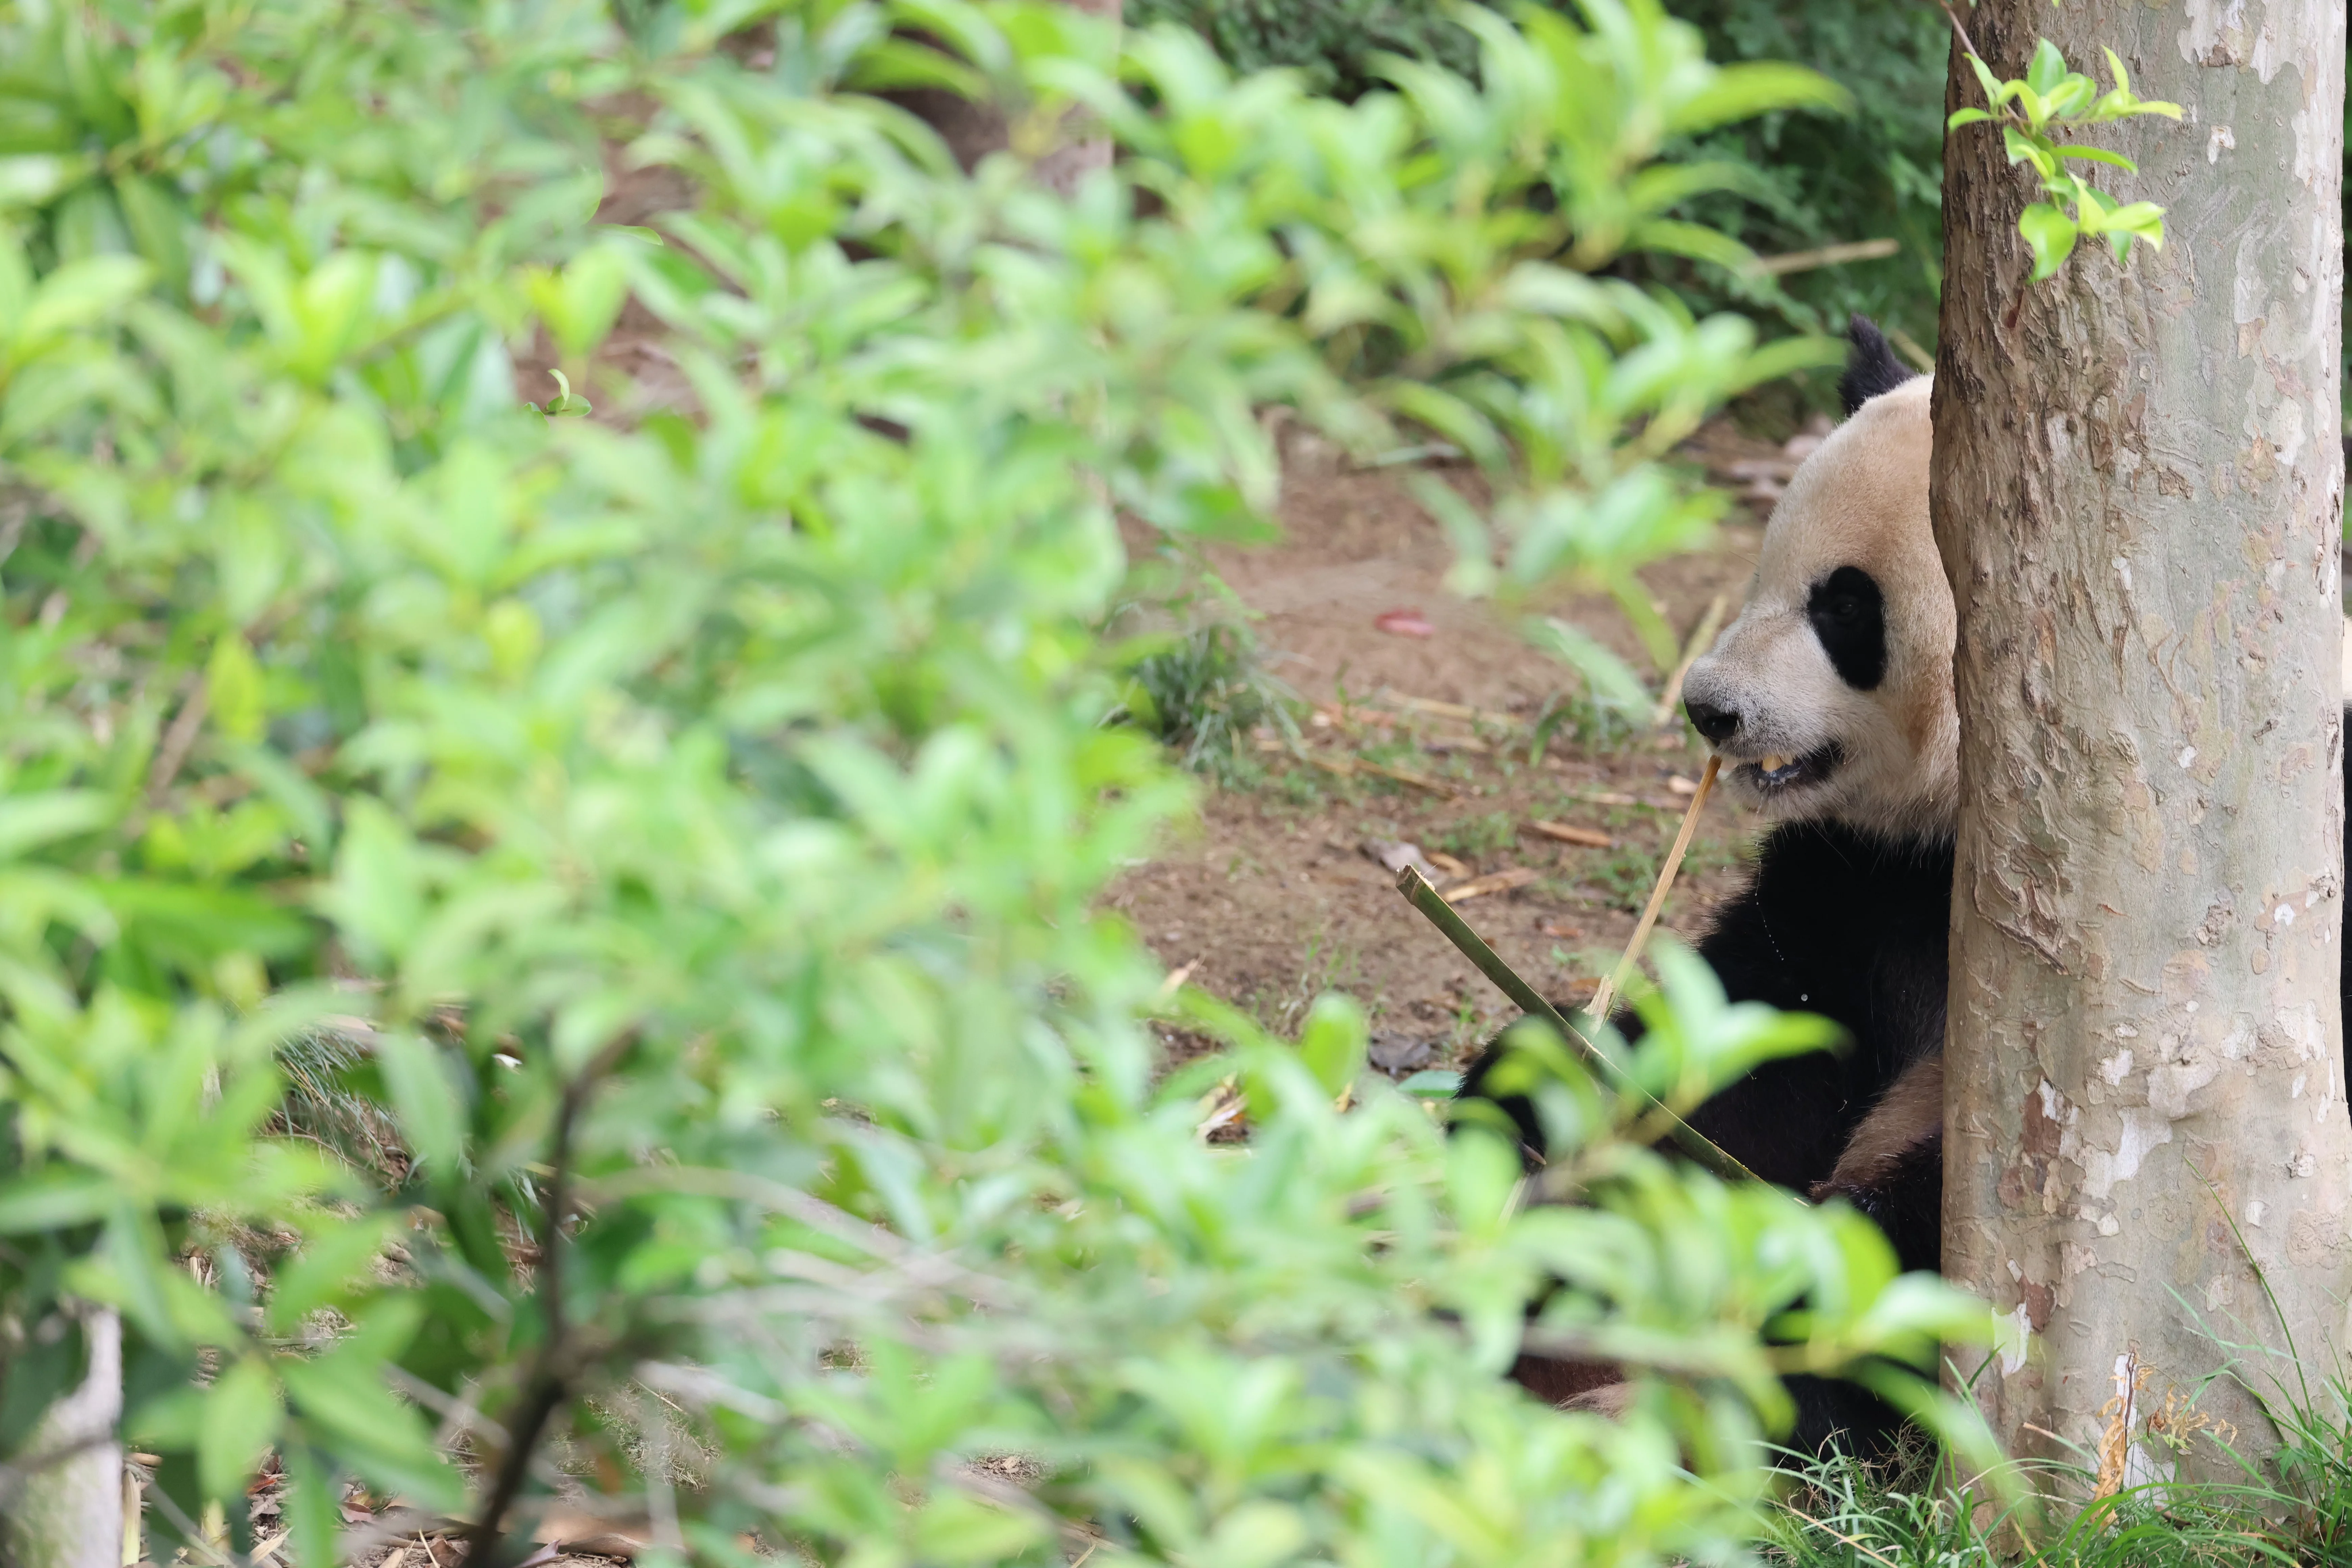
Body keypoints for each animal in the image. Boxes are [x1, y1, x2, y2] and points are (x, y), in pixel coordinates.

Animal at [1458, 315, 2352, 1454]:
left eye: (1845, 607)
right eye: (1764, 568)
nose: (1710, 707)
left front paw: (1803, 1274)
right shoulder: (1860, 875)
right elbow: (1764, 1033)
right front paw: (1540, 1096)